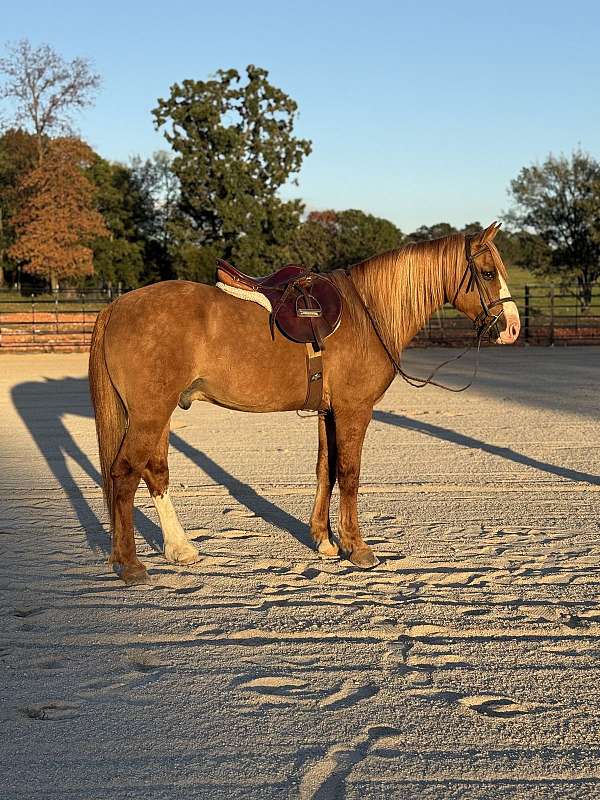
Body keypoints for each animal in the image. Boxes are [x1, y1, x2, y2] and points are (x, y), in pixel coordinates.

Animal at [88, 222, 520, 585]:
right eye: (486, 273)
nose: (513, 328)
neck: (367, 313)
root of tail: (116, 307)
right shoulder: (353, 410)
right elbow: (349, 473)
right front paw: (357, 548)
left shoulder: (328, 412)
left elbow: (325, 470)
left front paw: (325, 541)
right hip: (149, 415)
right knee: (124, 474)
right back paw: (131, 565)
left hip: (158, 414)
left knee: (155, 472)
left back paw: (180, 550)